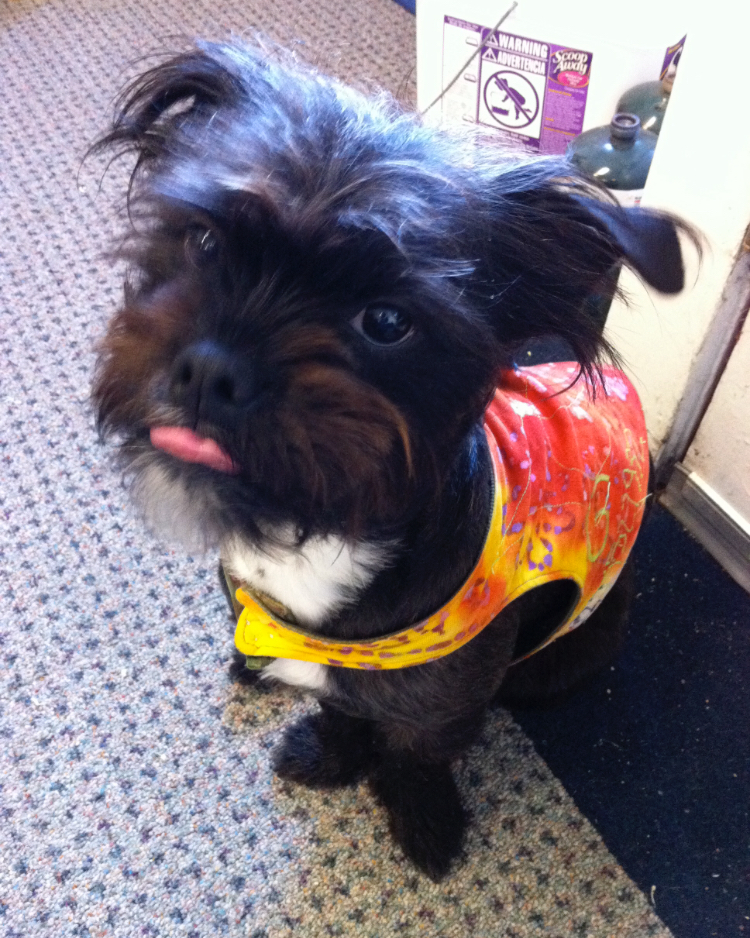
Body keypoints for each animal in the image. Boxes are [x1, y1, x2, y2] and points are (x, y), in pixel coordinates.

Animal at [92, 42, 692, 876]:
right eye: (205, 242)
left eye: (386, 321)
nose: (209, 371)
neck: (321, 543)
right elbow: (341, 707)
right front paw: (330, 750)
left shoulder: (440, 702)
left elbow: (416, 751)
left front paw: (420, 815)